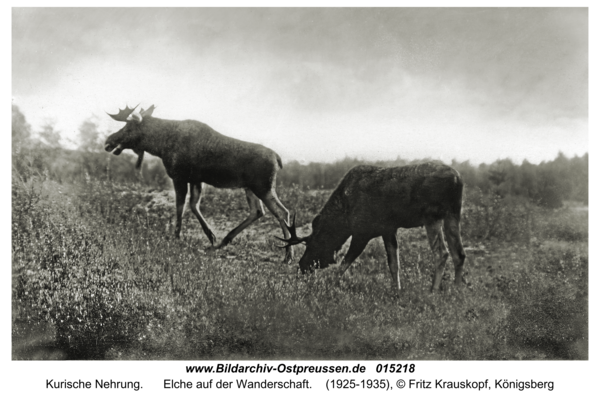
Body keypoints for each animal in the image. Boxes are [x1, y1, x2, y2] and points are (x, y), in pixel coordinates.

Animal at [106, 104, 296, 264]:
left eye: (129, 127)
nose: (108, 141)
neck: (160, 146)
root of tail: (278, 159)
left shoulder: (179, 177)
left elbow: (180, 206)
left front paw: (176, 237)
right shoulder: (196, 180)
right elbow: (193, 205)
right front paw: (211, 236)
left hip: (262, 187)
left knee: (282, 212)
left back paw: (288, 255)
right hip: (251, 188)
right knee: (258, 211)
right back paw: (224, 241)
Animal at [278, 162, 466, 290]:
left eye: (311, 242)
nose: (302, 265)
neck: (344, 217)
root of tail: (458, 180)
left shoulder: (362, 232)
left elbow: (344, 263)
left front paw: (328, 284)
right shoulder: (388, 229)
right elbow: (393, 264)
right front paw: (396, 290)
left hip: (432, 216)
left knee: (442, 253)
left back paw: (433, 290)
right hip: (453, 213)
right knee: (459, 253)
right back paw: (456, 289)